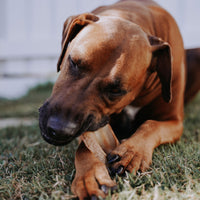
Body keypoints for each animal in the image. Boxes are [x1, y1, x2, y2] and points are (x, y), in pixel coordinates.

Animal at [39, 0, 200, 199]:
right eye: (74, 62)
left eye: (116, 90)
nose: (59, 129)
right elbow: (85, 147)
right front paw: (90, 175)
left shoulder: (174, 122)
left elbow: (151, 124)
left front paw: (132, 151)